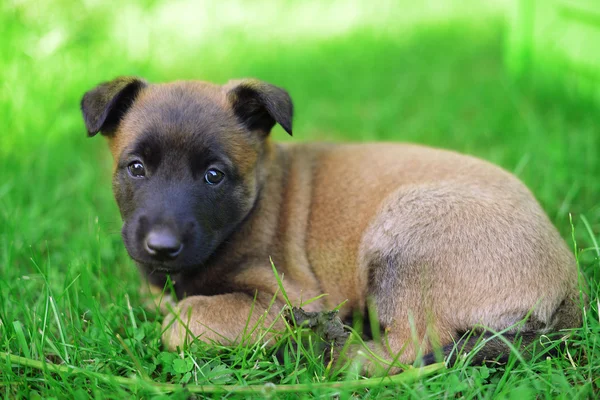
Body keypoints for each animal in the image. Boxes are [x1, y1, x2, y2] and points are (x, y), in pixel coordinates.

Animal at [79, 76, 580, 372]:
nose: (161, 247)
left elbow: (183, 320)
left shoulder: (287, 298)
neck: (259, 198)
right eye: (136, 168)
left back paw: (336, 354)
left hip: (405, 227)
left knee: (416, 344)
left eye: (214, 176)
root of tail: (571, 283)